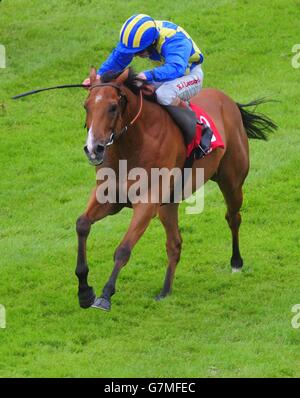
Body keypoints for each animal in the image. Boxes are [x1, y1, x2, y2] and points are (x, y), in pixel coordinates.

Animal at [76, 67, 278, 310]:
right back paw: (165, 290)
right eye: (86, 106)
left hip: (231, 181)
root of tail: (228, 101)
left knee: (233, 218)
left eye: (113, 107)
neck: (133, 146)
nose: (93, 149)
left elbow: (123, 249)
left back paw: (236, 262)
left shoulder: (147, 203)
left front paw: (105, 294)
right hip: (169, 204)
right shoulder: (110, 197)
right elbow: (82, 224)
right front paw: (84, 291)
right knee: (175, 244)